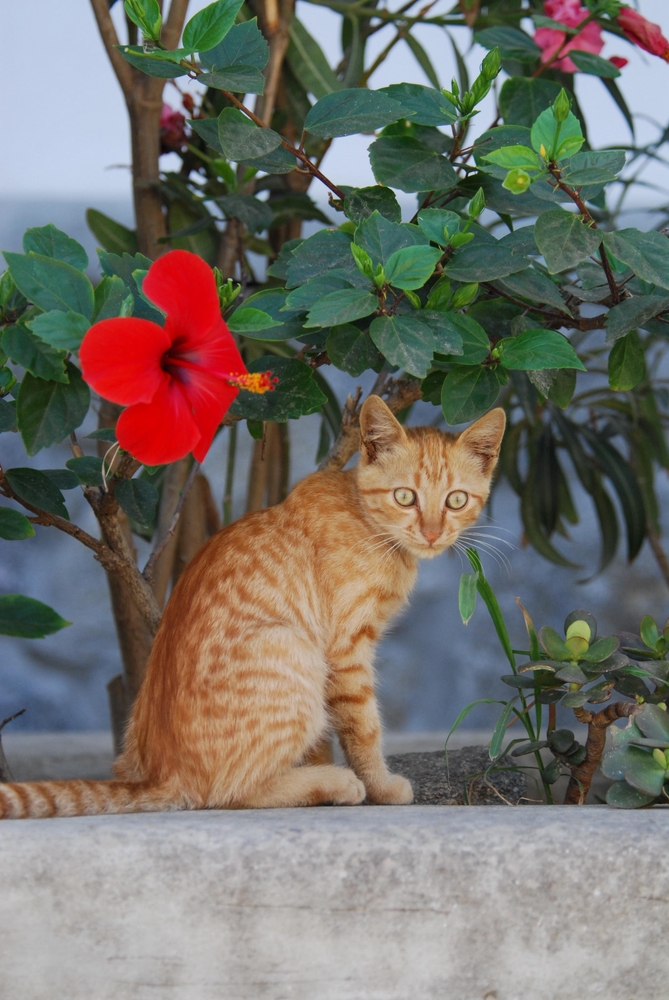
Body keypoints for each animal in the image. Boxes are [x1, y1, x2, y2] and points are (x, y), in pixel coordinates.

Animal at [0, 394, 500, 816]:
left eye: (456, 500)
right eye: (405, 497)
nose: (433, 534)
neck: (366, 519)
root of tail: (160, 776)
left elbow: (329, 735)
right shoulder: (345, 650)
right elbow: (363, 726)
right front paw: (380, 786)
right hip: (295, 653)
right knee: (227, 793)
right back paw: (331, 782)